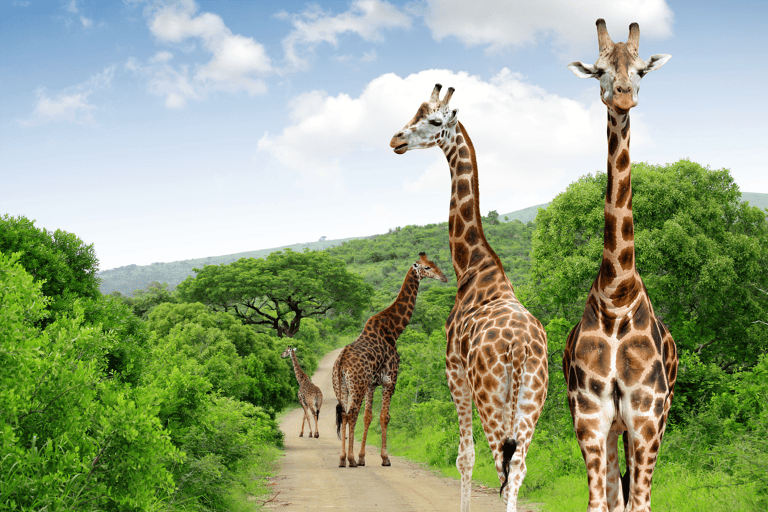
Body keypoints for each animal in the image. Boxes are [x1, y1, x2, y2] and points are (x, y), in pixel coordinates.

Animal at [333, 252, 448, 468]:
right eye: (427, 267)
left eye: (434, 263)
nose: (444, 277)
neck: (394, 330)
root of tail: (341, 362)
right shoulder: (390, 381)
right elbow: (384, 417)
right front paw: (384, 458)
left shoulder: (371, 384)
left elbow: (368, 417)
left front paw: (362, 457)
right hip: (356, 386)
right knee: (351, 415)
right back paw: (349, 459)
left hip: (341, 387)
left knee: (344, 415)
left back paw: (343, 458)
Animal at [390, 84, 549, 512]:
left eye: (432, 121)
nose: (395, 140)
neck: (472, 267)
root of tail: (521, 349)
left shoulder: (454, 372)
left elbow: (465, 457)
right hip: (533, 399)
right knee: (519, 467)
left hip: (490, 394)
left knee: (502, 467)